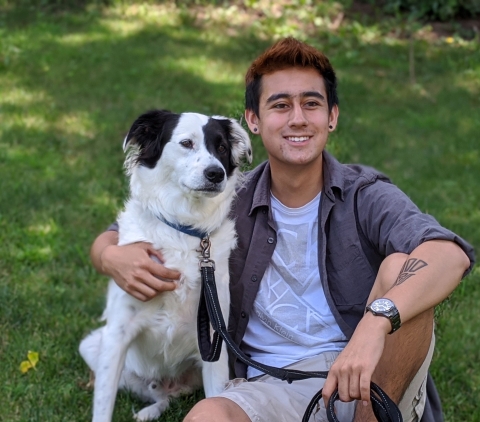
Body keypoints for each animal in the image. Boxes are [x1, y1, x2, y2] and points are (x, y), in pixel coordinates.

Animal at [79, 109, 251, 422]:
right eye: (186, 143)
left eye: (221, 148)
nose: (216, 173)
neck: (183, 230)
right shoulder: (116, 336)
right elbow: (103, 406)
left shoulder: (215, 341)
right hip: (93, 347)